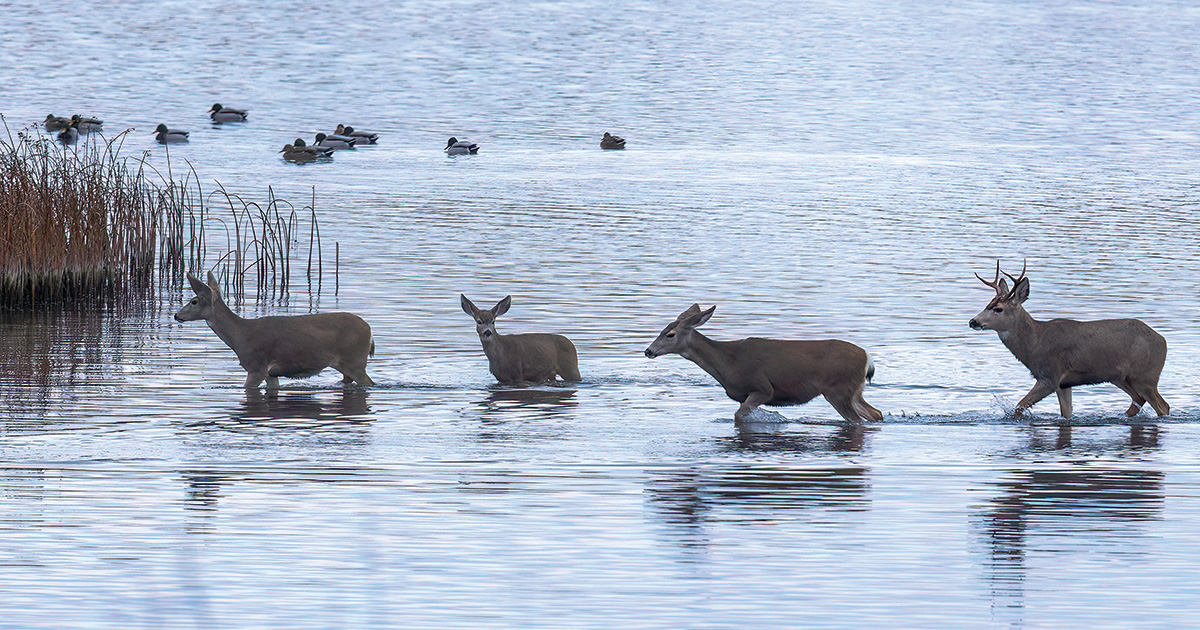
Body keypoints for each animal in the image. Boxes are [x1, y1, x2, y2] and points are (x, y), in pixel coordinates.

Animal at [174, 272, 375, 389]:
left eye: (193, 301)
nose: (177, 315)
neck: (241, 336)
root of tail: (370, 331)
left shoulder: (256, 366)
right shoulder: (271, 373)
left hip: (355, 360)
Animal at [644, 304, 883, 423]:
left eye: (670, 334)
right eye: (662, 330)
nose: (648, 351)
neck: (726, 363)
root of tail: (867, 357)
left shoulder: (762, 387)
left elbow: (738, 416)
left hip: (838, 389)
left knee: (858, 420)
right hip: (853, 391)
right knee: (875, 414)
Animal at [968, 261, 1169, 418]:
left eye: (998, 309)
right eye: (987, 304)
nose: (973, 321)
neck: (1035, 344)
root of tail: (1162, 341)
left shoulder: (1050, 375)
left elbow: (1018, 408)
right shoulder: (1064, 384)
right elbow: (1066, 414)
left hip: (1145, 376)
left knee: (1162, 406)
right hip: (1120, 377)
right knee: (1139, 400)